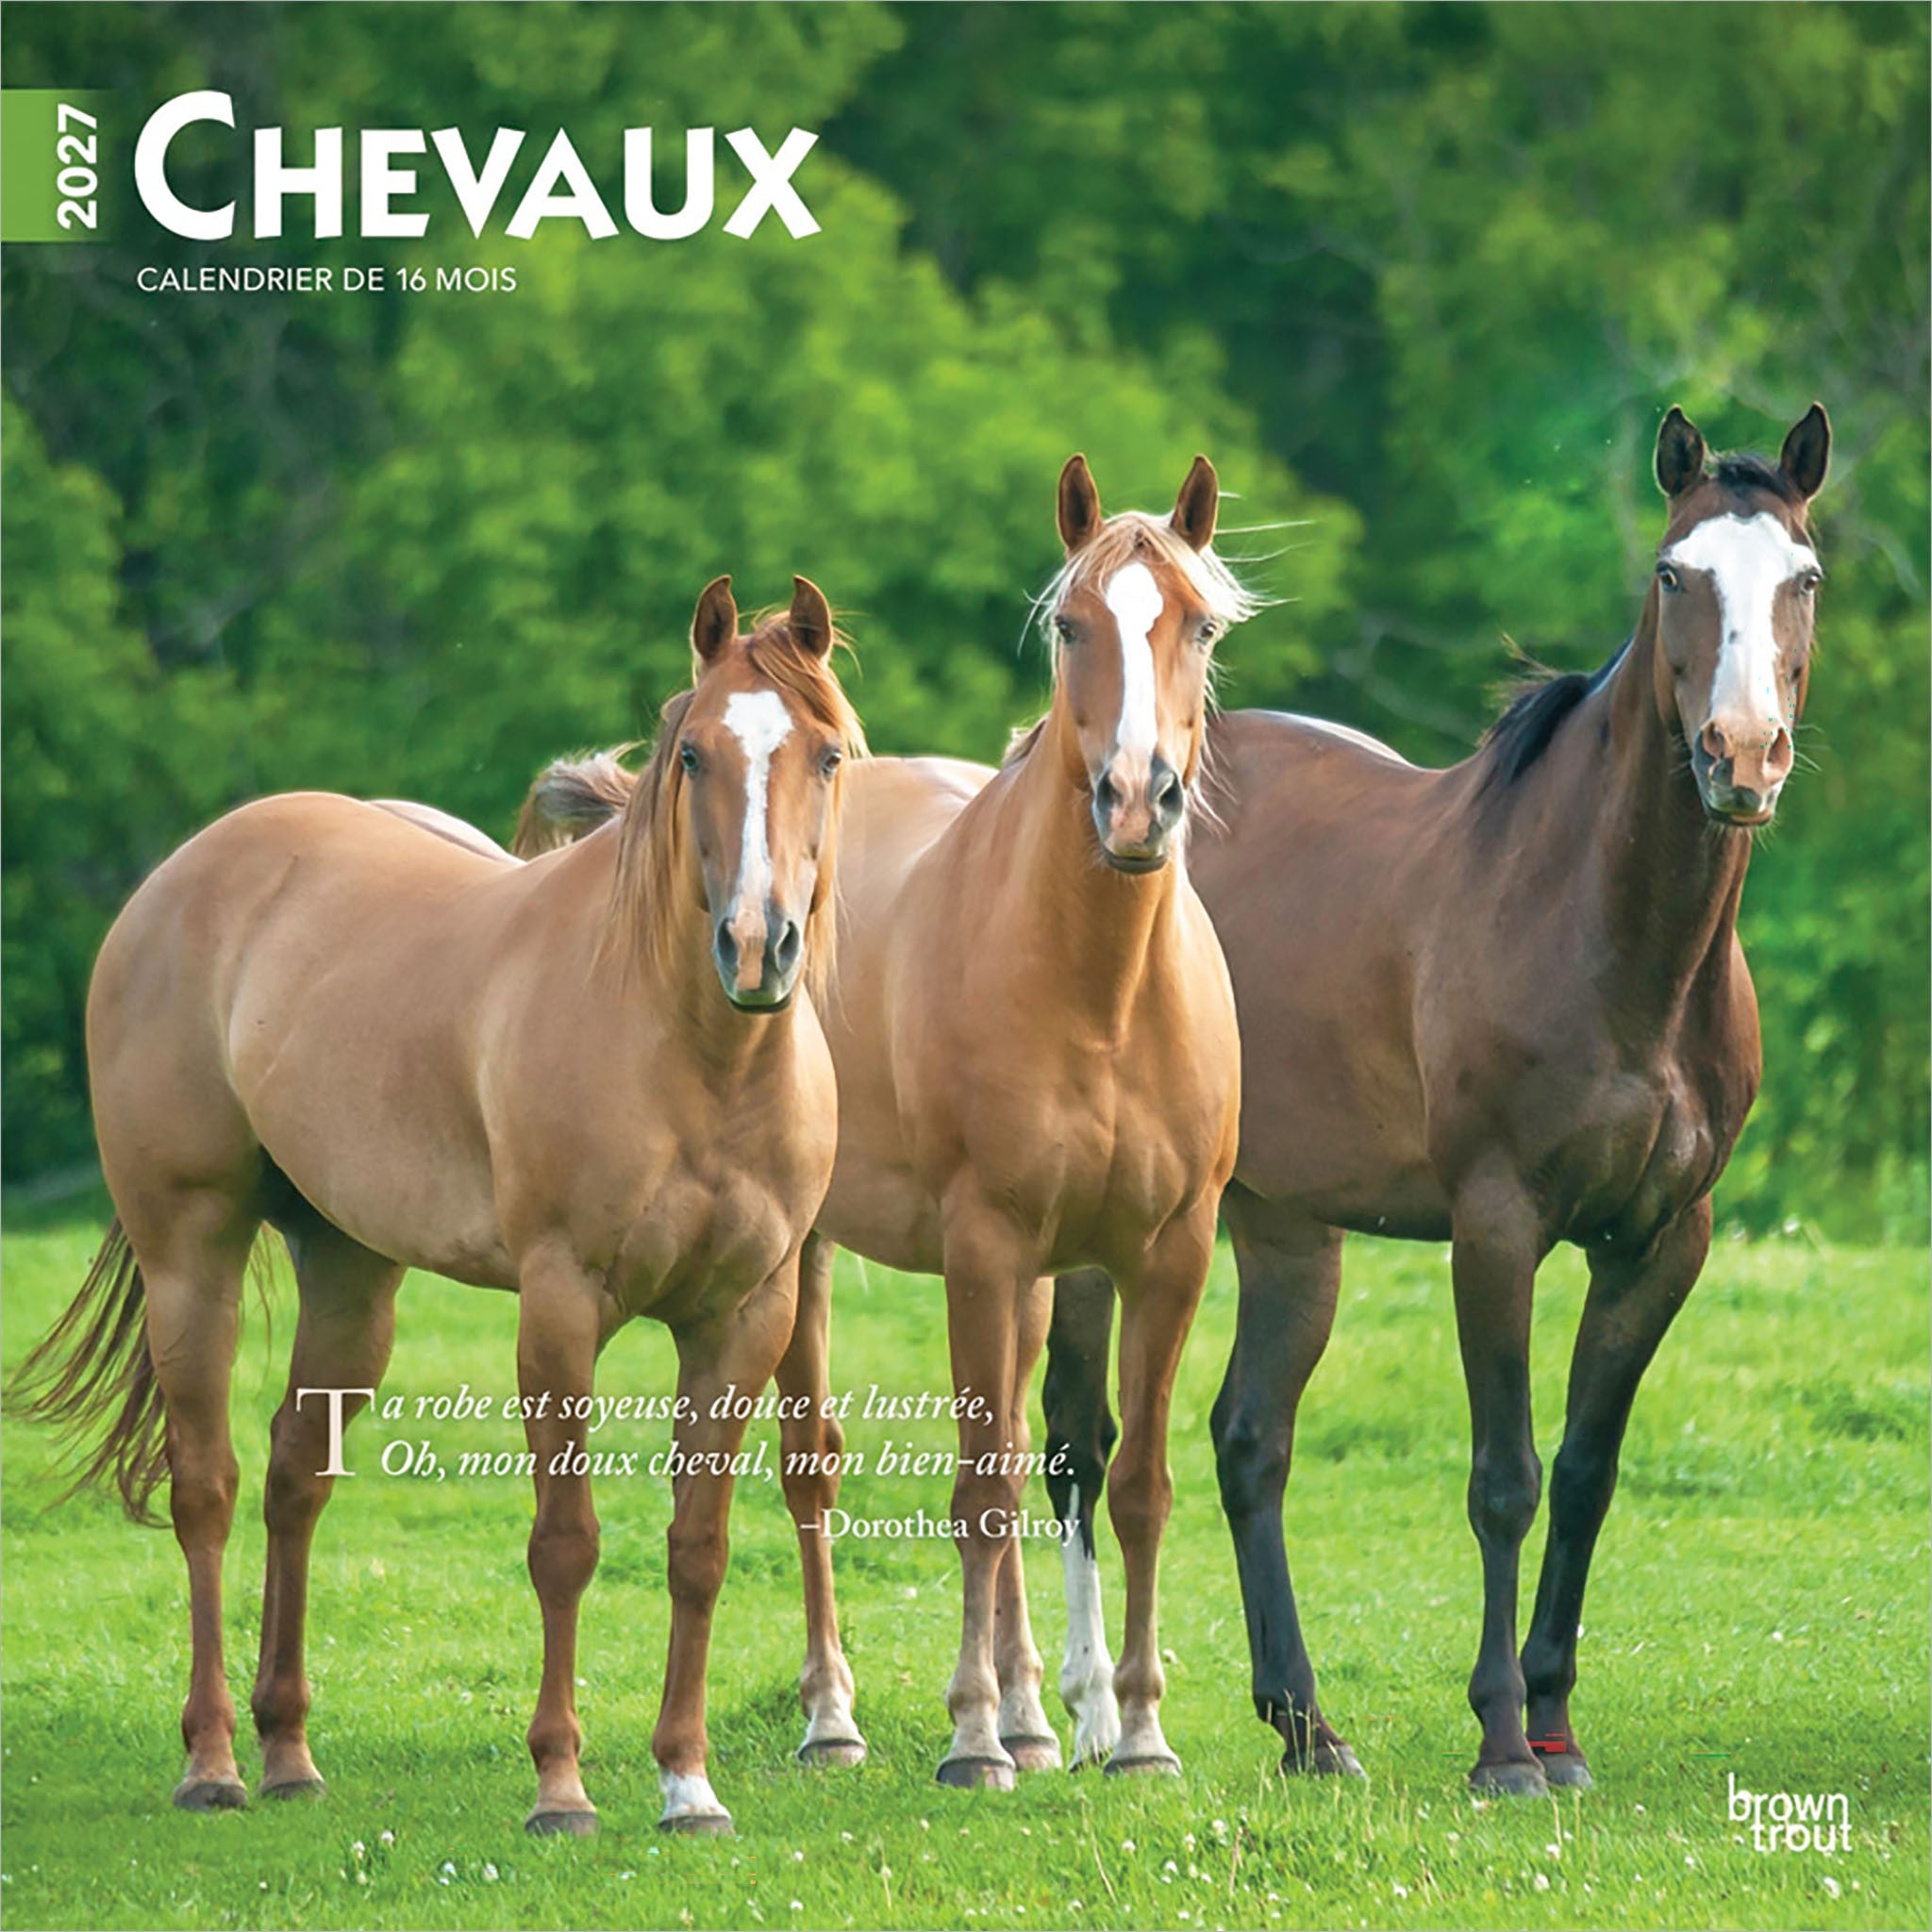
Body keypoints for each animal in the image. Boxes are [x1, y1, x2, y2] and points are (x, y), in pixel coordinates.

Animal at [8, 575, 865, 1837]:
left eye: (828, 754)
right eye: (692, 754)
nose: (756, 945)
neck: (690, 1055)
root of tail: (182, 875)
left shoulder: (742, 1316)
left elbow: (698, 1545)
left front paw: (686, 1781)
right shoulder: (559, 1306)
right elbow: (565, 1542)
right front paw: (560, 1784)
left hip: (350, 1274)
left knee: (293, 1476)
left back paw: (288, 1749)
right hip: (191, 1258)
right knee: (206, 1487)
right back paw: (213, 1760)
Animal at [514, 455, 1253, 1786]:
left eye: (1200, 626)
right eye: (1071, 625)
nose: (1133, 803)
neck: (1101, 989)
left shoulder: (1165, 1253)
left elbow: (1133, 1484)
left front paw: (1134, 1730)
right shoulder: (982, 1245)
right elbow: (977, 1495)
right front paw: (968, 1734)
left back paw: (1036, 1710)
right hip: (809, 1258)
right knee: (816, 1470)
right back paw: (838, 1716)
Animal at [1039, 403, 1833, 1795]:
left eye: (1803, 578)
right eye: (1672, 575)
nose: (1741, 755)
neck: (1611, 935)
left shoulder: (1662, 1242)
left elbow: (1585, 1471)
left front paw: (1559, 1725)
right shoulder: (1496, 1225)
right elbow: (1504, 1476)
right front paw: (1505, 1744)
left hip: (1288, 1226)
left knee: (1249, 1441)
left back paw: (1307, 1727)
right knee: (1082, 1443)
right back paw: (1090, 1720)